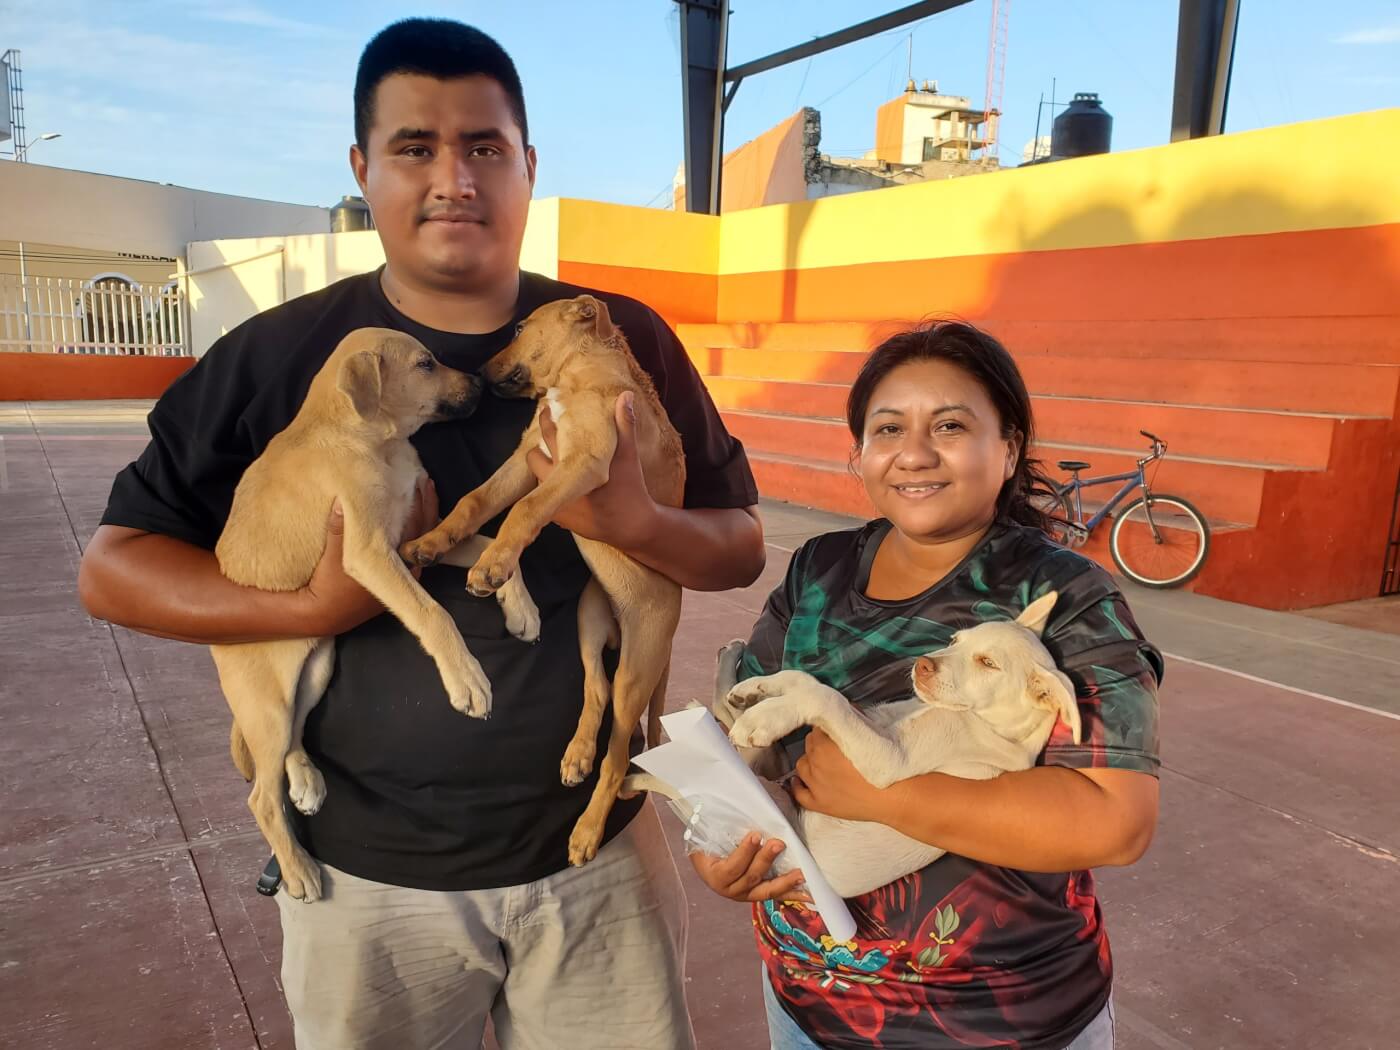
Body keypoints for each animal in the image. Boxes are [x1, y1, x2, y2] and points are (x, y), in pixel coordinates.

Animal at [214, 330, 540, 907]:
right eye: (426, 364)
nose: (480, 381)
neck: (372, 441)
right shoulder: (369, 554)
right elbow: (433, 613)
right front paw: (467, 679)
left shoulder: (418, 539)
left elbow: (496, 548)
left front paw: (518, 606)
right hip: (267, 703)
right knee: (262, 797)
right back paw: (298, 870)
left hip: (315, 670)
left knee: (292, 743)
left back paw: (306, 780)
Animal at [403, 298, 686, 873]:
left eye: (517, 326)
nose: (476, 374)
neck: (575, 375)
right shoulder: (526, 457)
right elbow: (473, 501)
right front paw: (431, 542)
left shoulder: (582, 463)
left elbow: (527, 511)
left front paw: (492, 565)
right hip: (589, 617)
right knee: (596, 689)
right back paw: (576, 754)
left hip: (639, 667)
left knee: (618, 755)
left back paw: (587, 830)